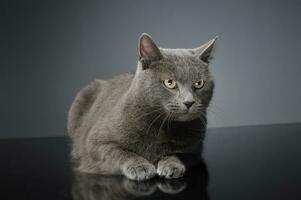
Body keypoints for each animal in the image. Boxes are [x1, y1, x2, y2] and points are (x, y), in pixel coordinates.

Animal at [66, 32, 216, 180]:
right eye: (169, 83)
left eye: (199, 83)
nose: (189, 102)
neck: (161, 126)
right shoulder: (95, 142)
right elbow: (120, 152)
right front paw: (140, 167)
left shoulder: (195, 149)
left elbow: (178, 153)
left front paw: (171, 165)